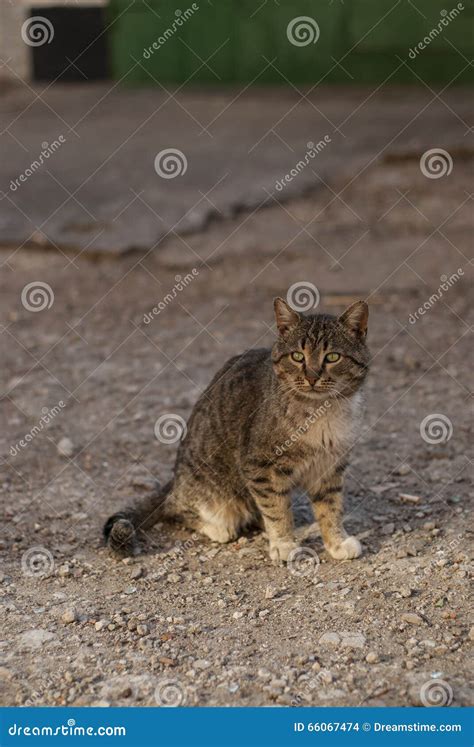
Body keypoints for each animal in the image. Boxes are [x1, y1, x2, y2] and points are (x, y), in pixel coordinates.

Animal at [104, 296, 370, 564]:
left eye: (332, 357)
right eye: (297, 356)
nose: (312, 377)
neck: (319, 411)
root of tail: (174, 481)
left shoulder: (330, 467)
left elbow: (331, 508)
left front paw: (336, 542)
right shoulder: (260, 466)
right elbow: (277, 509)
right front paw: (284, 543)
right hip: (207, 487)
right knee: (179, 509)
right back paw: (218, 527)